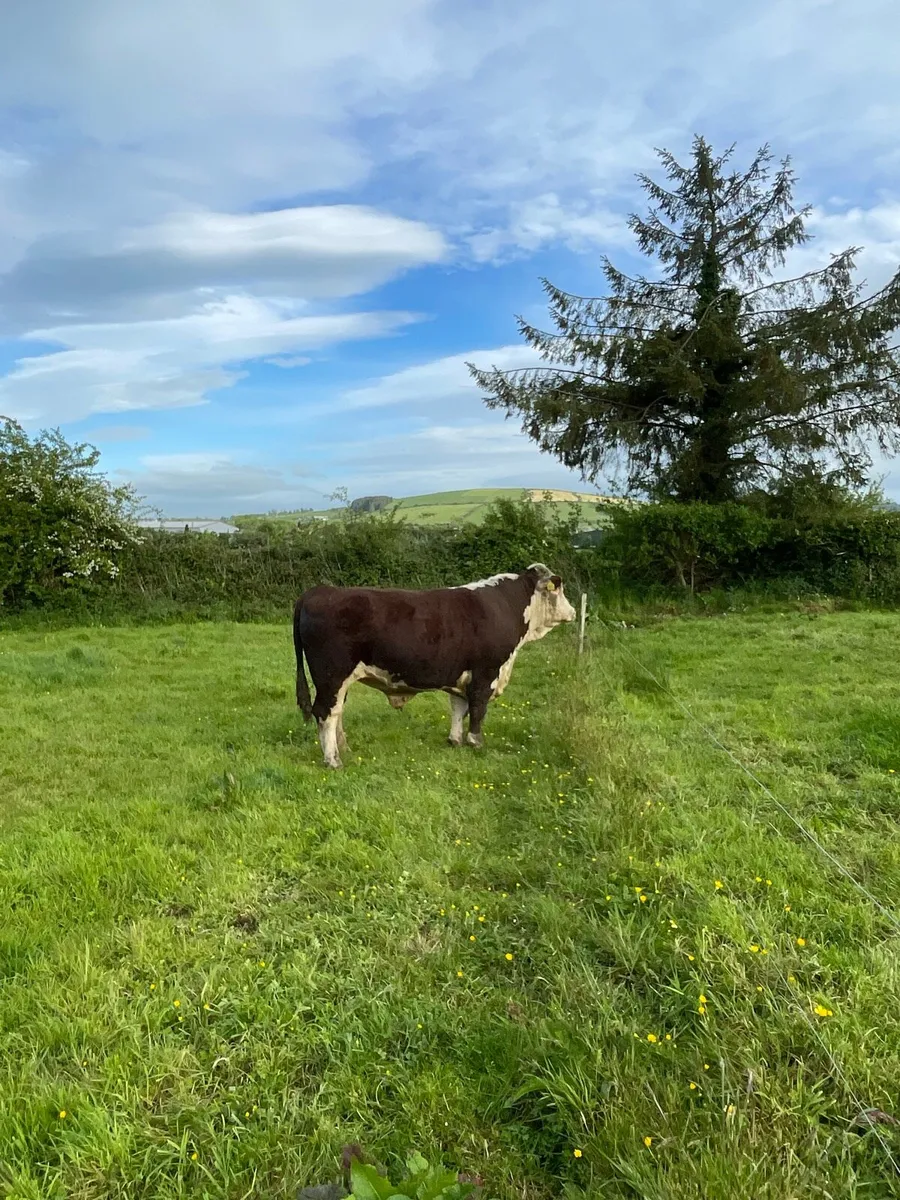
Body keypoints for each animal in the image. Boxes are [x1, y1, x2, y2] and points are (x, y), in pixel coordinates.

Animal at [293, 563, 577, 768]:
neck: (509, 605)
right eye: (558, 589)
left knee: (337, 711)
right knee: (325, 713)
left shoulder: (461, 674)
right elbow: (478, 708)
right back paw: (333, 760)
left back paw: (344, 749)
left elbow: (458, 708)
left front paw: (455, 740)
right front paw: (476, 743)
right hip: (332, 675)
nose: (574, 612)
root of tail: (320, 591)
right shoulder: (486, 672)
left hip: (338, 680)